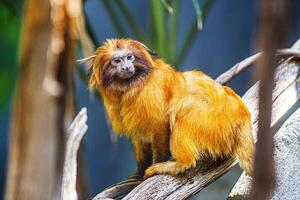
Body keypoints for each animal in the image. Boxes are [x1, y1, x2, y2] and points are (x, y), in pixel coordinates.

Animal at [88, 38, 254, 178]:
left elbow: (160, 127)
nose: (126, 67)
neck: (132, 86)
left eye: (130, 57)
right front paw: (140, 172)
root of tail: (241, 114)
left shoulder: (150, 96)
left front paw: (154, 165)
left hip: (213, 122)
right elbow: (138, 138)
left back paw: (179, 163)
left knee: (184, 112)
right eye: (116, 61)